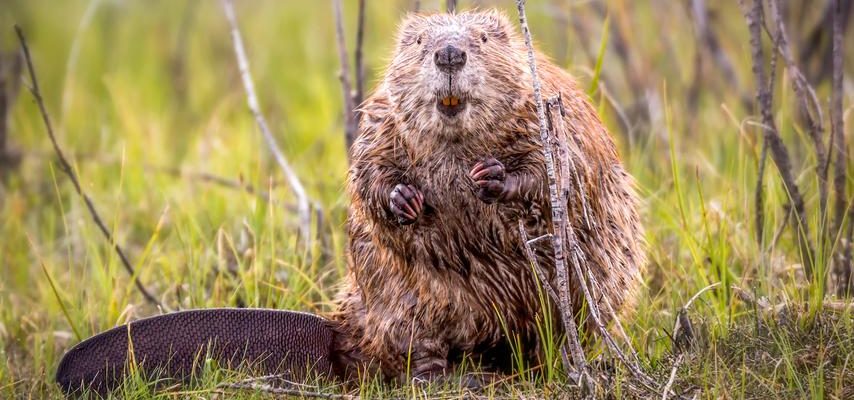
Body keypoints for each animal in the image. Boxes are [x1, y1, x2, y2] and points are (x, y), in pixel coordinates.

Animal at [55, 8, 640, 394]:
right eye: (419, 41)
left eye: (481, 36)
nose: (449, 53)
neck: (455, 140)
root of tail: (339, 337)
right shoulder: (380, 116)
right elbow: (366, 173)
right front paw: (405, 198)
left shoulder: (547, 108)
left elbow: (556, 168)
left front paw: (492, 177)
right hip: (401, 301)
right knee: (413, 348)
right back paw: (440, 375)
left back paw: (552, 363)